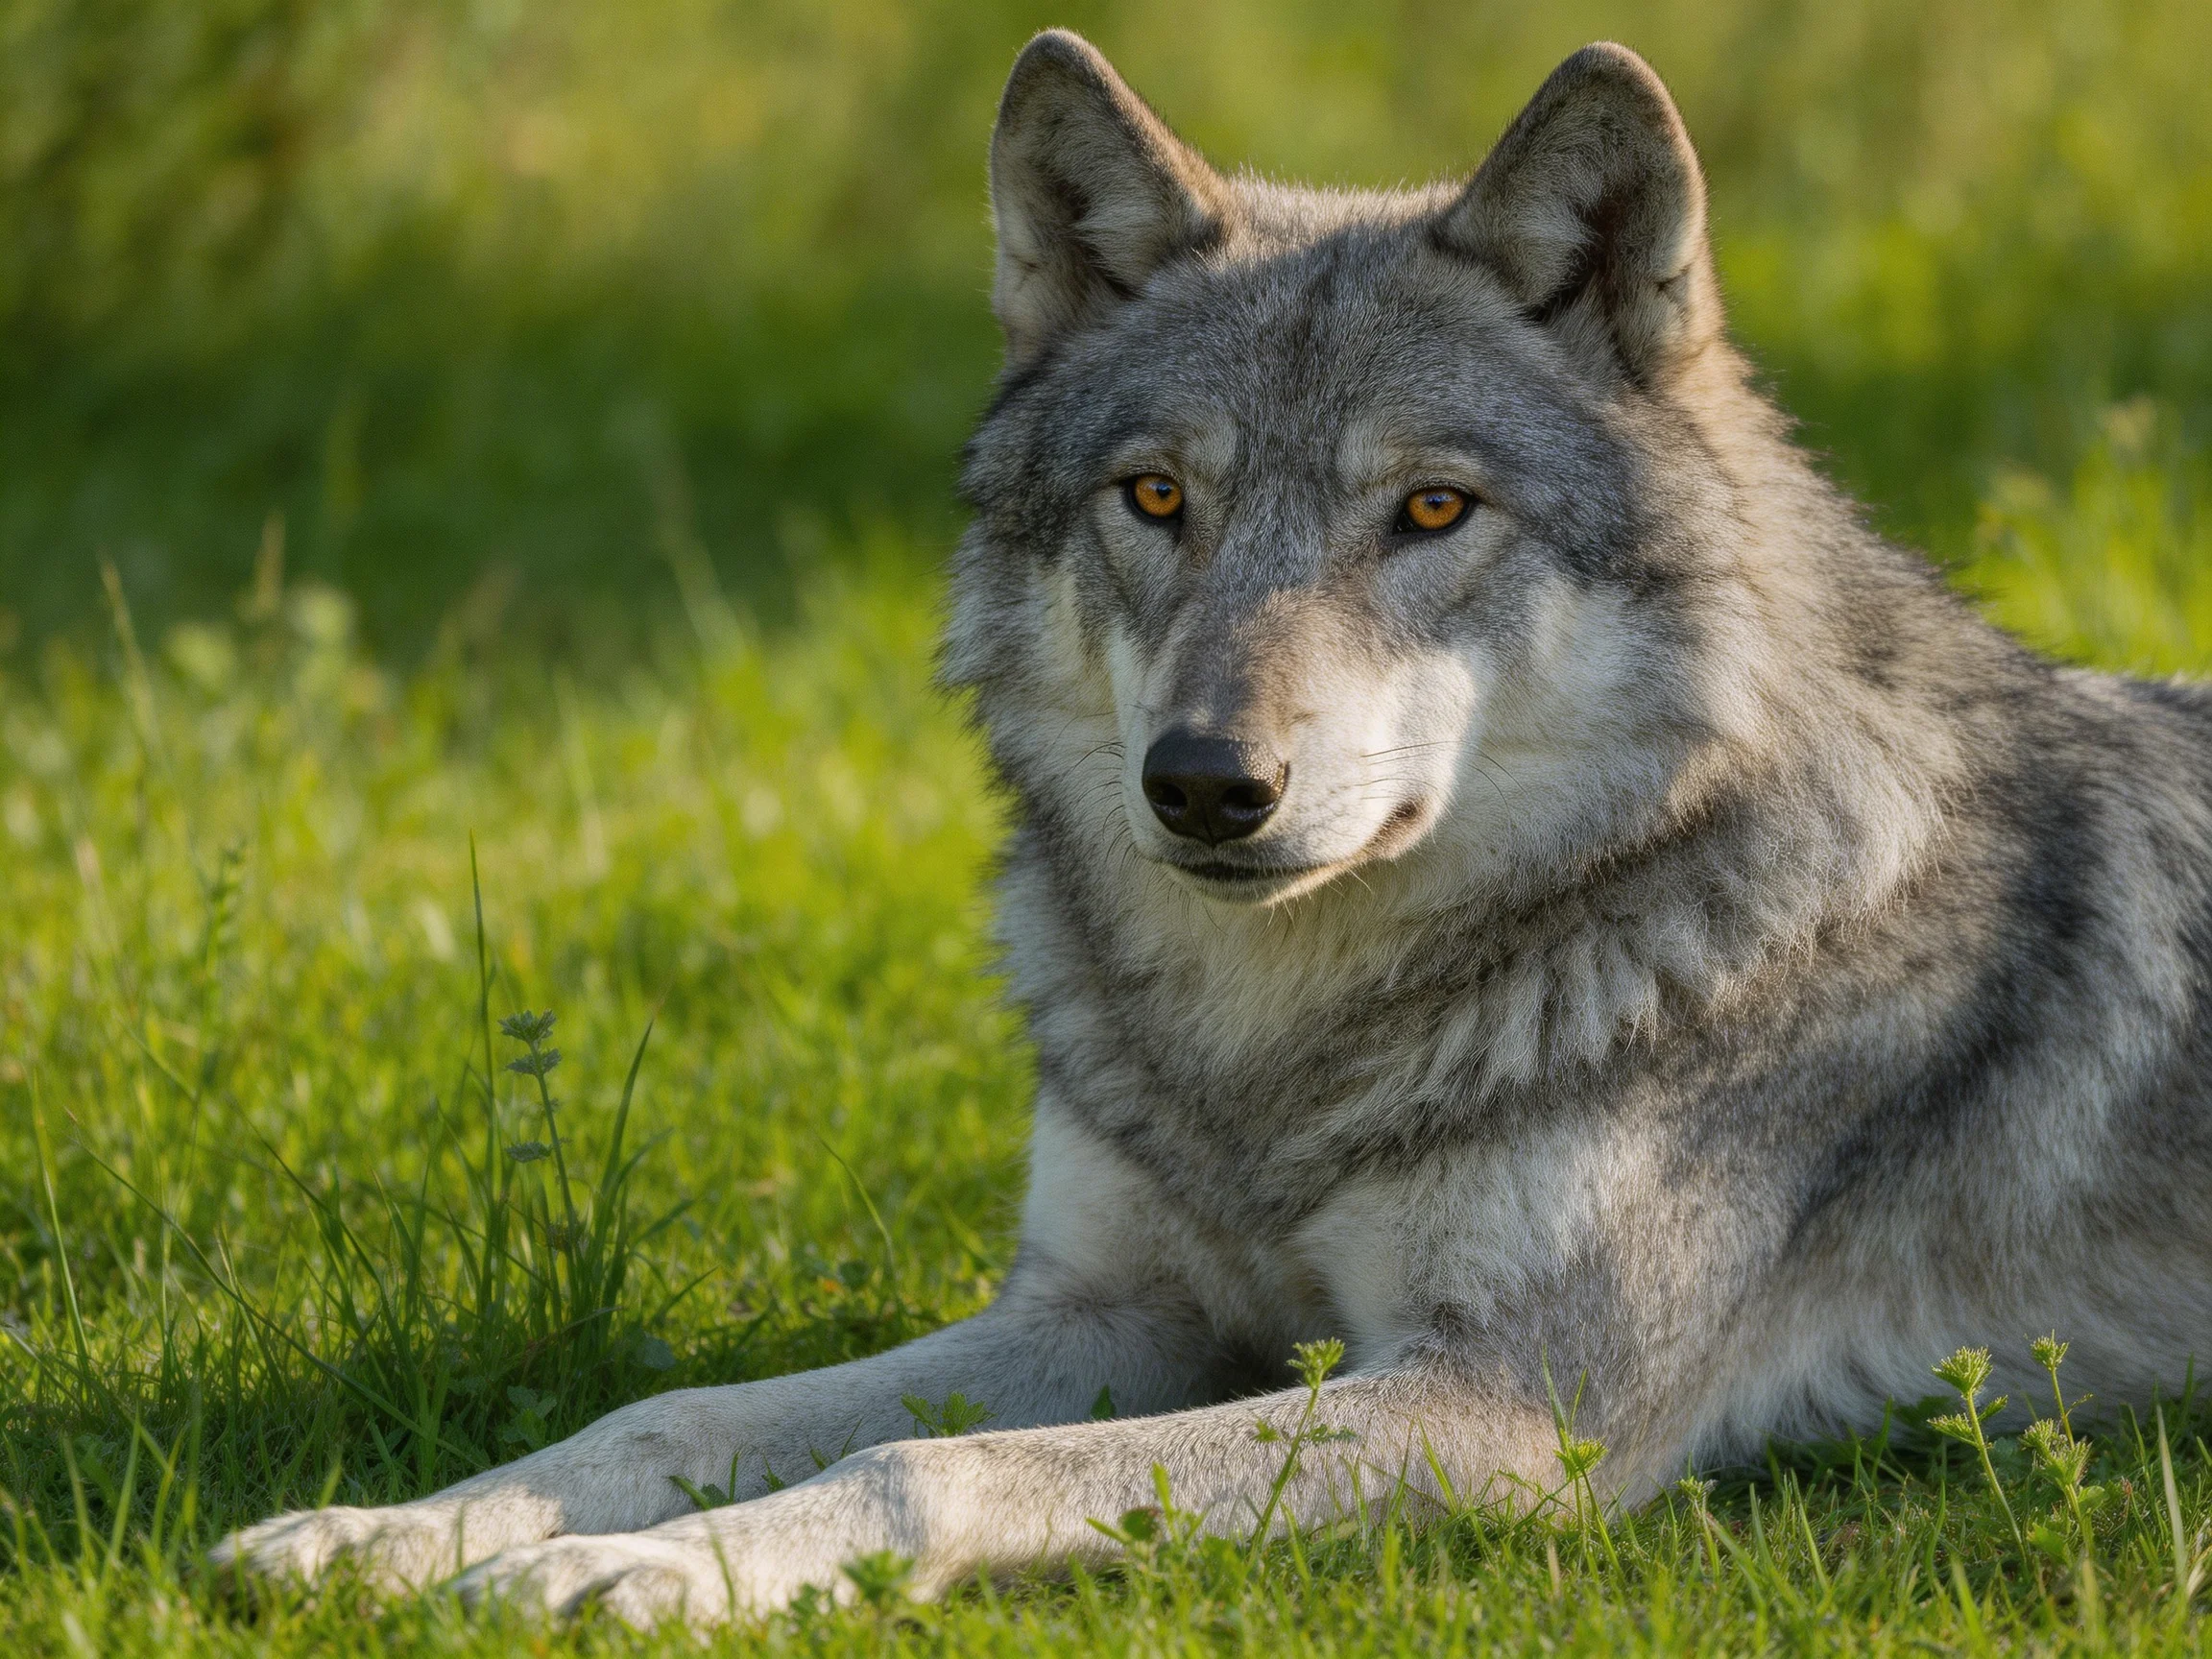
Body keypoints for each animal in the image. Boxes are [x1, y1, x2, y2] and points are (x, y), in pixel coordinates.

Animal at [214, 30, 2212, 1627]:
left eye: (1429, 509)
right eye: (1157, 496)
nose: (1199, 780)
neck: (1273, 1057)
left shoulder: (1507, 1411)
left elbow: (926, 1470)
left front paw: (626, 1570)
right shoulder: (1110, 1306)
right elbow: (675, 1410)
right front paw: (393, 1530)